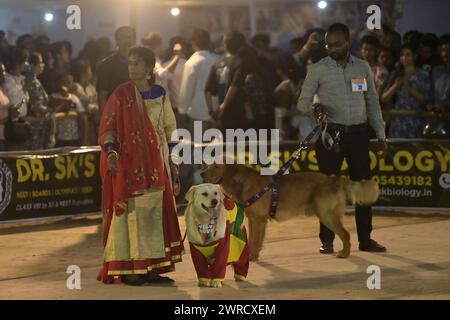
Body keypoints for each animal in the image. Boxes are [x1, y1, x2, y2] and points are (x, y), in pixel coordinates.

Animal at [201, 162, 380, 260]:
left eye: (216, 166)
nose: (201, 173)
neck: (243, 182)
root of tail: (334, 178)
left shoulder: (259, 220)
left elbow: (257, 241)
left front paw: (252, 257)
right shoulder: (252, 219)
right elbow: (252, 240)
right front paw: (252, 255)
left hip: (327, 215)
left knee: (346, 234)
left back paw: (345, 253)